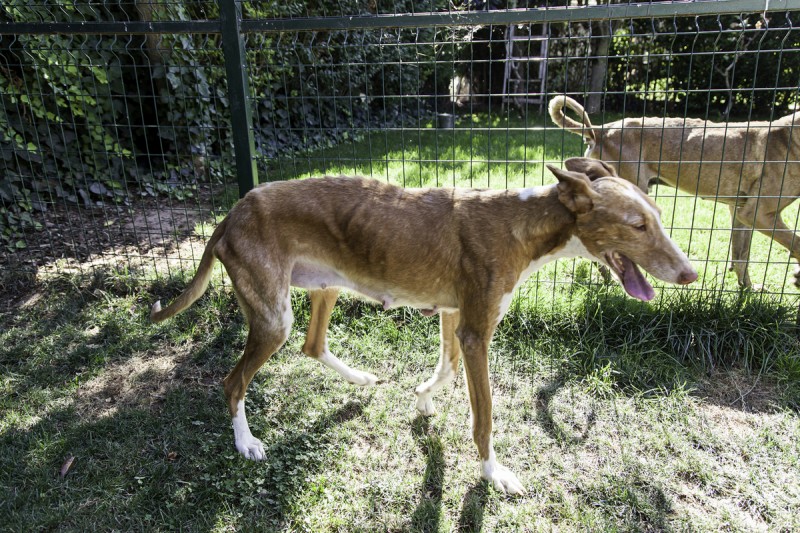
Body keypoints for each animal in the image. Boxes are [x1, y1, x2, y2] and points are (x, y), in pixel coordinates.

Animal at [148, 159, 692, 494]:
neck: (524, 224)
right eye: (637, 224)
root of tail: (231, 214)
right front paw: (493, 473)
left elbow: (446, 371)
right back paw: (246, 443)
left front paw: (423, 399)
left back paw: (360, 379)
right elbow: (484, 416)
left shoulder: (454, 317)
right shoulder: (476, 333)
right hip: (273, 318)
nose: (690, 274)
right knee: (233, 381)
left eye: (659, 215)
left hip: (325, 288)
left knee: (312, 345)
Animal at [548, 95, 800, 286]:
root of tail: (601, 130)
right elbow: (796, 243)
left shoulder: (740, 212)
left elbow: (741, 256)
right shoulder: (757, 214)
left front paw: (747, 290)